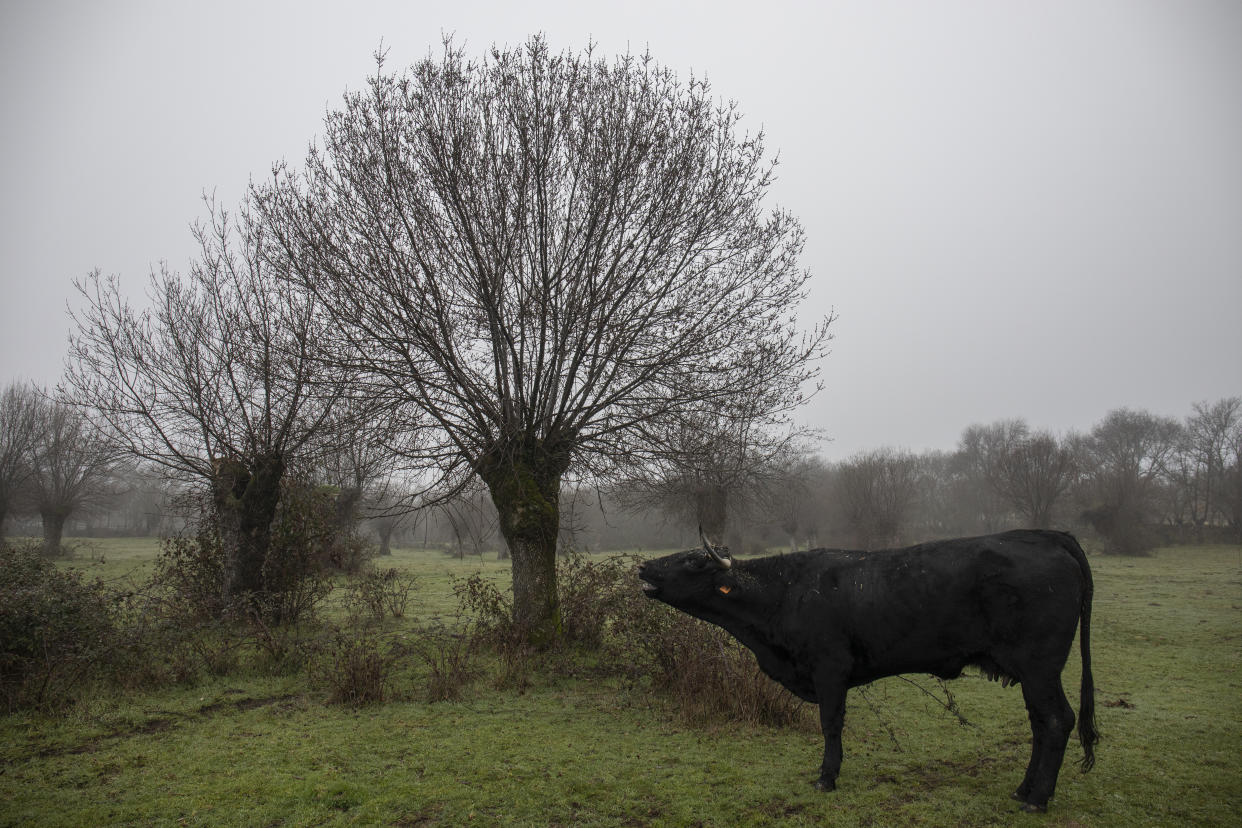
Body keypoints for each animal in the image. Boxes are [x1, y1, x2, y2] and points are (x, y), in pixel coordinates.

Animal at [640, 531, 1097, 809]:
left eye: (694, 561)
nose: (645, 568)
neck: (786, 593)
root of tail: (1044, 535)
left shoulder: (830, 669)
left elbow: (830, 724)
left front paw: (827, 777)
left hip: (1039, 666)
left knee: (1058, 720)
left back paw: (1037, 799)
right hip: (1032, 672)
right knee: (1042, 723)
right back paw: (1023, 789)